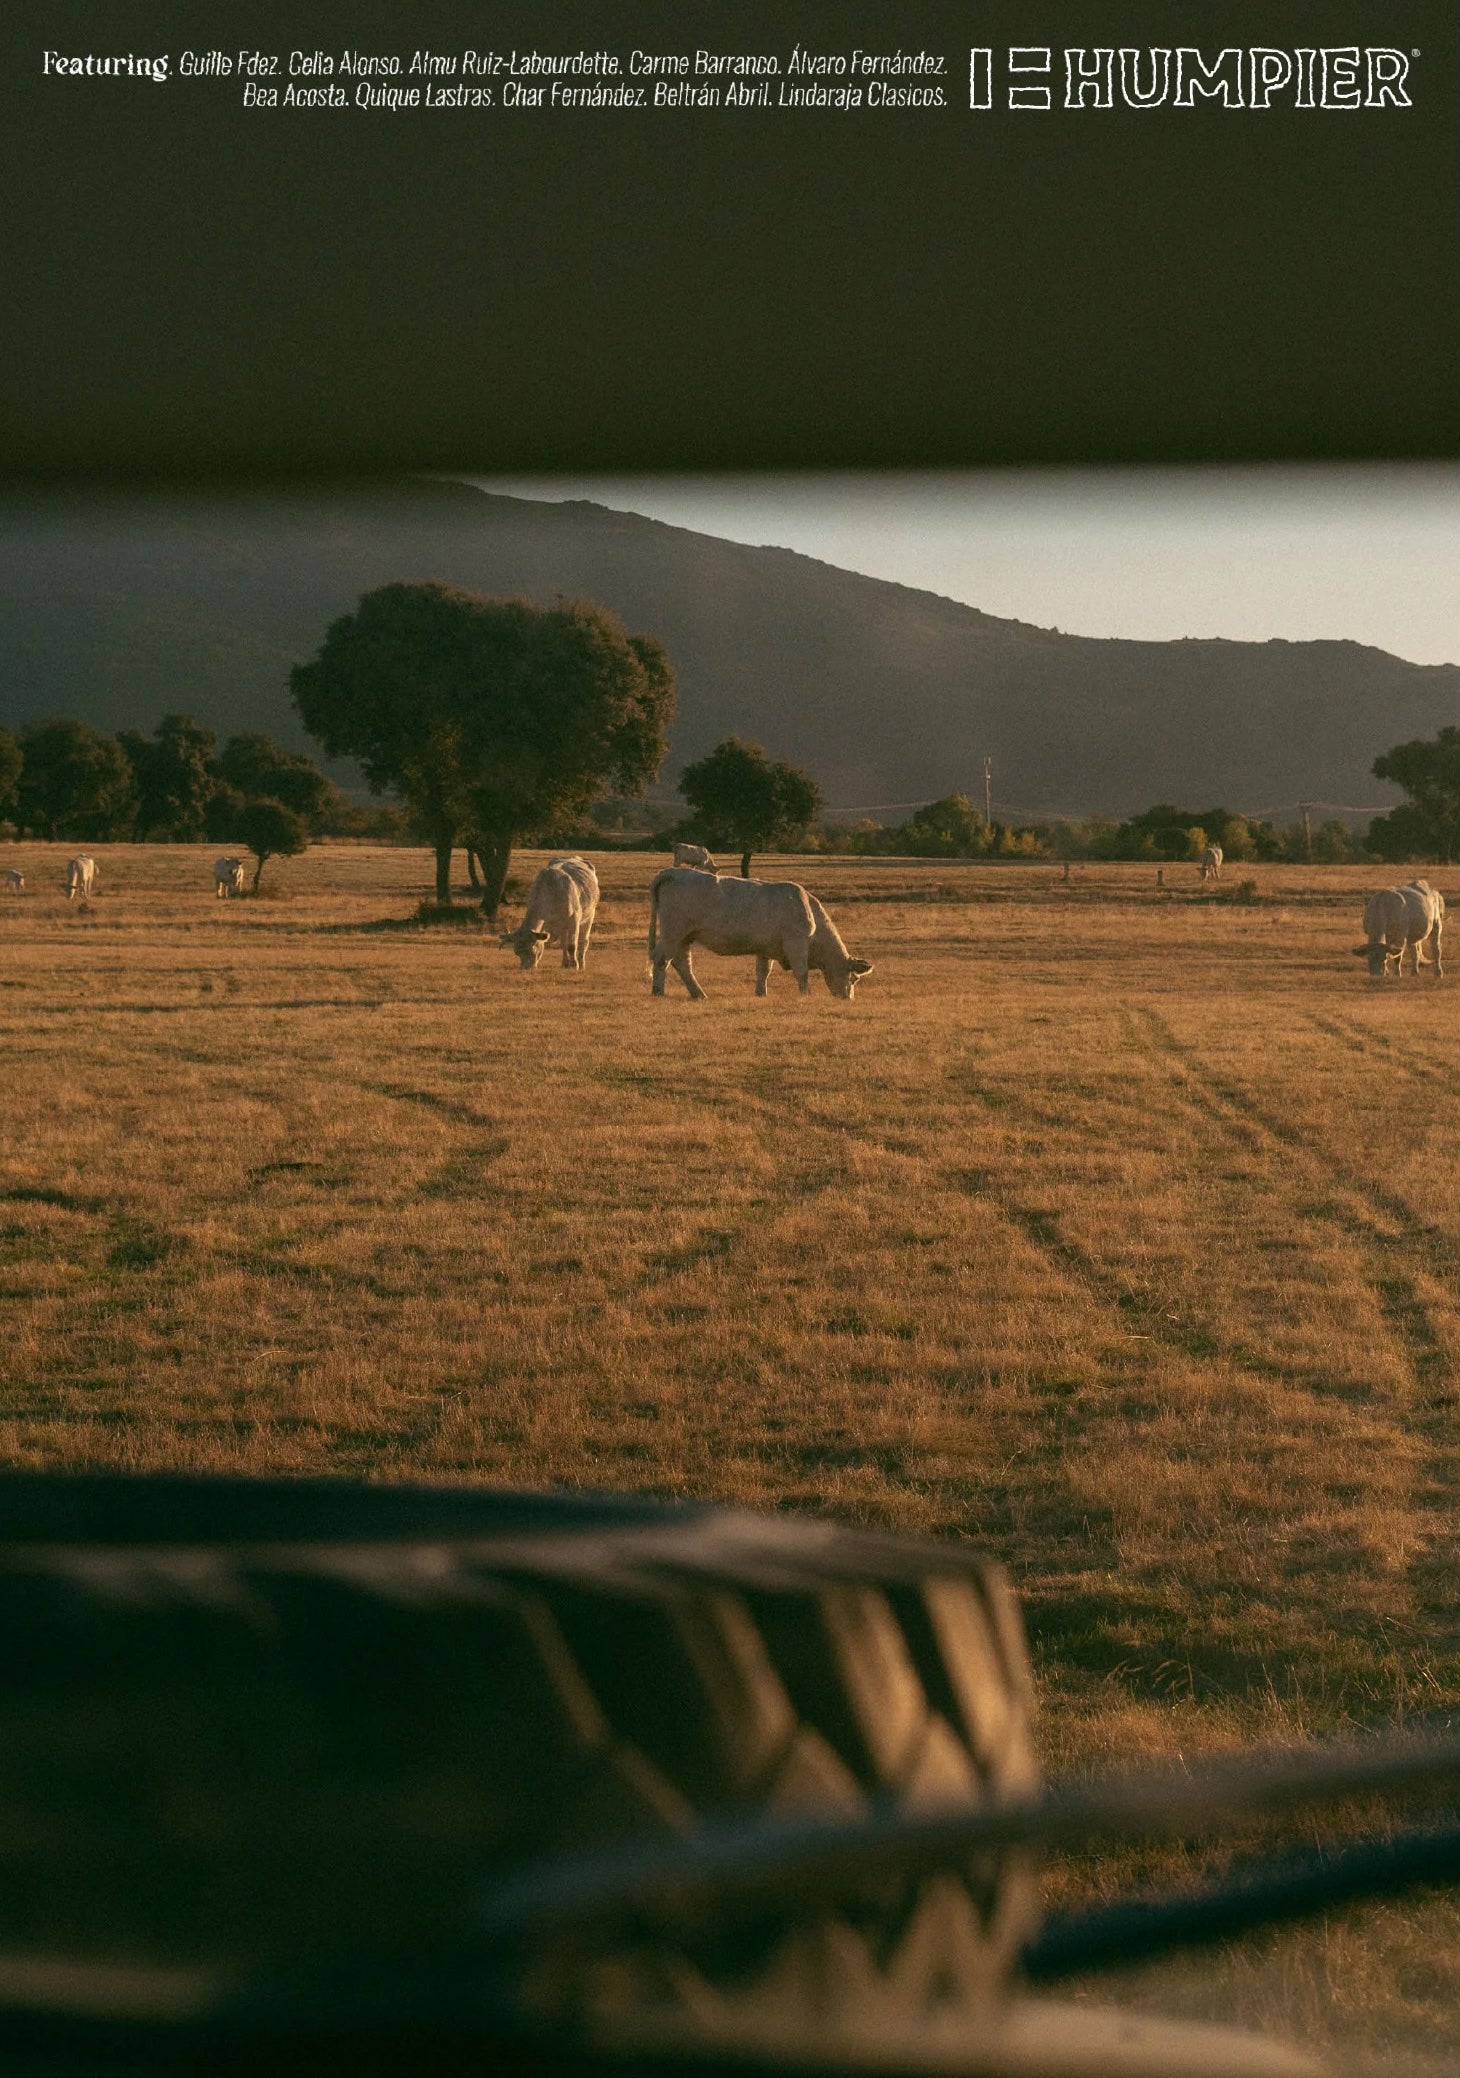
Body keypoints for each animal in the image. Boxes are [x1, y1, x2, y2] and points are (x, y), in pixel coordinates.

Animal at [648, 867, 873, 1001]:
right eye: (854, 979)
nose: (848, 999)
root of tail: (675, 871)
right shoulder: (796, 943)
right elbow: (801, 972)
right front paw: (806, 994)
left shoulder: (766, 948)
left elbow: (763, 972)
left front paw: (761, 994)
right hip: (674, 931)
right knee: (662, 959)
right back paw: (658, 991)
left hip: (685, 936)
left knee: (682, 963)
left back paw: (699, 994)